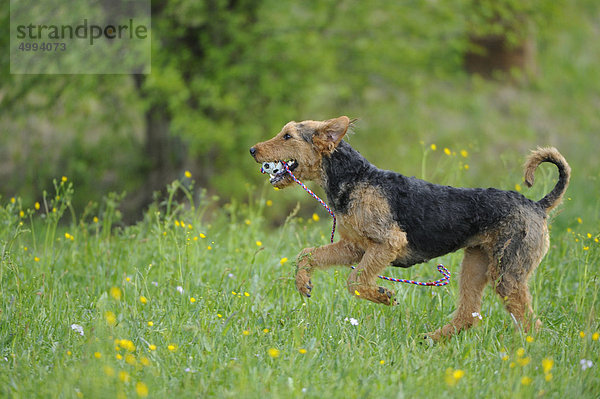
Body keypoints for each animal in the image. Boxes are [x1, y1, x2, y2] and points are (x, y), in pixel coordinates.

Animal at [250, 116, 572, 340]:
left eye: (288, 136)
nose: (252, 149)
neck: (355, 178)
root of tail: (537, 206)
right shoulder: (354, 247)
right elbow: (308, 254)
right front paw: (303, 283)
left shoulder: (388, 242)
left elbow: (355, 281)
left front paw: (383, 296)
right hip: (475, 265)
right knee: (469, 315)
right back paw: (430, 340)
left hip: (507, 275)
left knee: (530, 322)